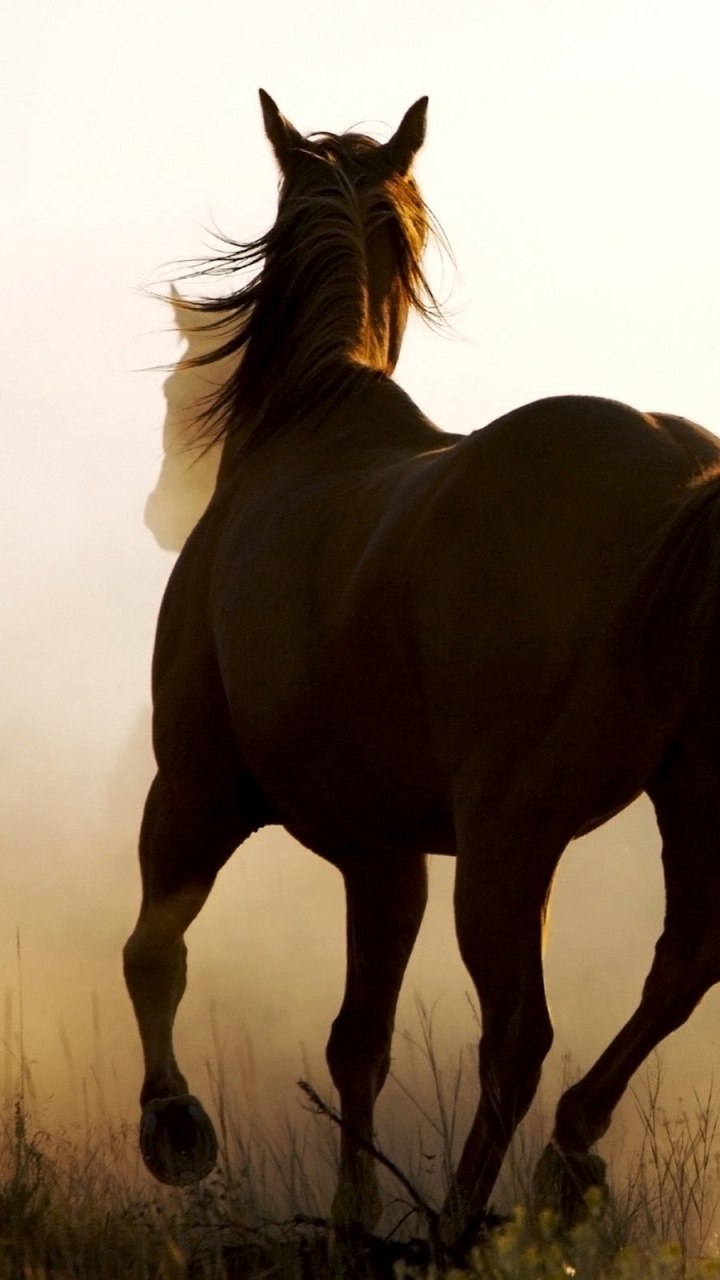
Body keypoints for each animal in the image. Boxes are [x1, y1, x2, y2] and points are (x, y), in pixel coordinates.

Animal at [124, 89, 720, 1250]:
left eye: (180, 385)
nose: (160, 511)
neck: (305, 430)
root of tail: (683, 480)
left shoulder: (193, 788)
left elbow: (153, 949)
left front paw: (175, 1127)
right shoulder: (382, 854)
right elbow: (358, 1038)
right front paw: (352, 1221)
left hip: (509, 839)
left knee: (521, 1035)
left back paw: (461, 1225)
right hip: (678, 802)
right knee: (679, 969)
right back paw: (567, 1162)